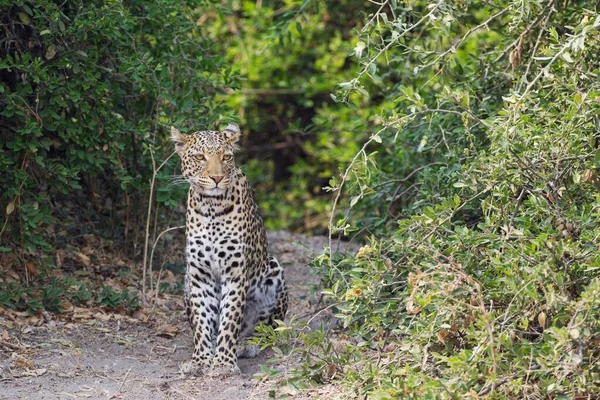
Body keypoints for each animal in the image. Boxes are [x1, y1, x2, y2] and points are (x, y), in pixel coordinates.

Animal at [171, 123, 288, 376]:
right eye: (199, 157)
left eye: (226, 157)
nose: (217, 178)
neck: (211, 207)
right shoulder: (199, 274)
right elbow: (203, 320)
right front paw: (201, 360)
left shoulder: (235, 272)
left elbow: (230, 319)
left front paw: (224, 363)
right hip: (186, 280)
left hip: (274, 269)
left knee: (268, 327)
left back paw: (248, 343)